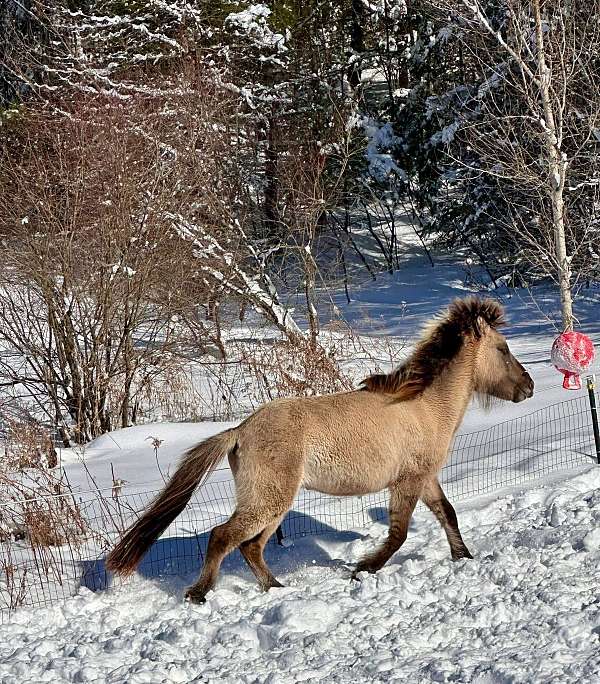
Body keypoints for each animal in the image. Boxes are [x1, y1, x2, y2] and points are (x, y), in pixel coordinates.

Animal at [106, 297, 534, 603]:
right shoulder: (408, 481)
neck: (425, 406)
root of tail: (240, 430)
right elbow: (399, 534)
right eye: (503, 348)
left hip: (274, 504)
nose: (529, 386)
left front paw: (465, 557)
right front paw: (363, 569)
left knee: (250, 546)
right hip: (269, 500)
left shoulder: (424, 478)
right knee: (223, 537)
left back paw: (276, 588)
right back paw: (199, 593)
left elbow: (448, 515)